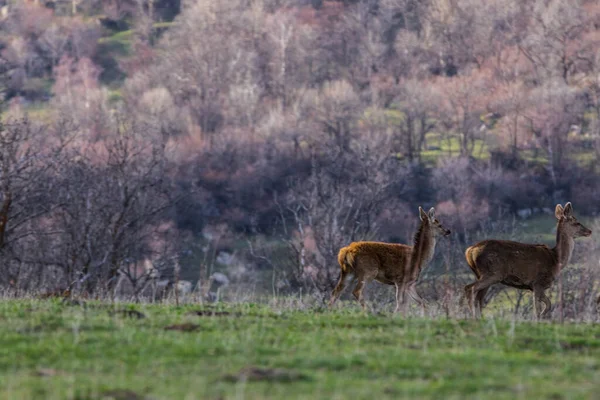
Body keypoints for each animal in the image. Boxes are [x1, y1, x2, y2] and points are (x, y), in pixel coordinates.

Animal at [464, 203, 592, 318]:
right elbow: (538, 309)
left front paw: (542, 317)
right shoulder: (538, 282)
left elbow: (548, 305)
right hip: (493, 272)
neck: (556, 260)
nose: (589, 231)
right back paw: (473, 317)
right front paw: (537, 320)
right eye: (577, 222)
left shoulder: (534, 287)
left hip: (481, 274)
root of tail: (470, 250)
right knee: (470, 288)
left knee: (478, 297)